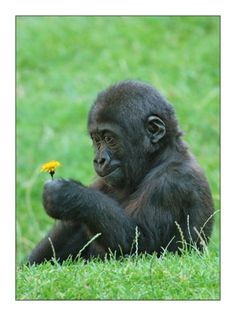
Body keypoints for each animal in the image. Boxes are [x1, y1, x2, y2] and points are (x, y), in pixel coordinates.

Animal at [27, 79, 214, 264]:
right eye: (97, 140)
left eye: (109, 139)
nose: (99, 160)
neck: (158, 157)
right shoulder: (102, 180)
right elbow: (74, 227)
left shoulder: (171, 182)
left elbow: (142, 244)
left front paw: (68, 196)